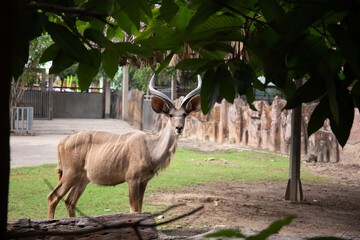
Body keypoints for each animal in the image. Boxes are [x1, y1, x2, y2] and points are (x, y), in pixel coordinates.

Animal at [46, 73, 201, 218]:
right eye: (170, 115)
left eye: (184, 114)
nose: (179, 128)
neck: (151, 148)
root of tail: (62, 142)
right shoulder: (132, 180)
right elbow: (134, 210)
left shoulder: (144, 181)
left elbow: (140, 208)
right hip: (70, 173)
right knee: (53, 197)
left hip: (82, 179)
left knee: (69, 201)